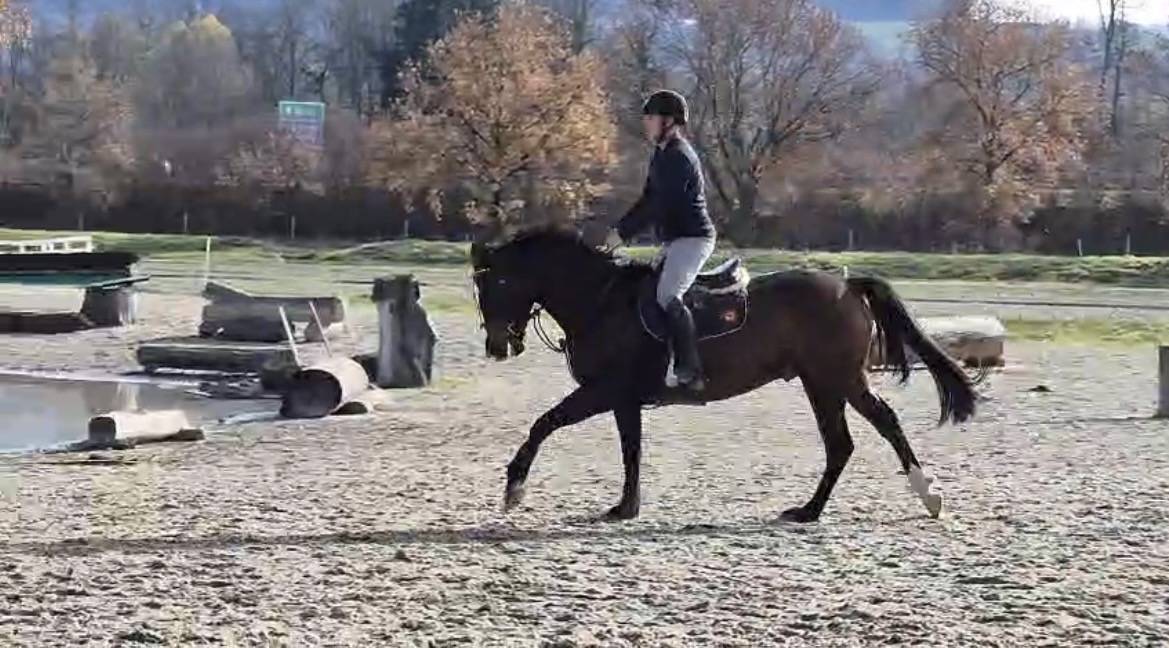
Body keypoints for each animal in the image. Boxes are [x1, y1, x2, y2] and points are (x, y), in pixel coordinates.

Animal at [470, 228, 976, 523]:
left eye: (497, 282)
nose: (497, 346)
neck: (600, 300)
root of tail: (847, 285)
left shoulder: (604, 390)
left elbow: (544, 423)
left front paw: (514, 488)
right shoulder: (624, 399)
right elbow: (631, 452)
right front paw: (626, 508)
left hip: (838, 379)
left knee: (883, 424)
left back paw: (927, 496)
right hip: (821, 384)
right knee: (841, 444)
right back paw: (809, 511)